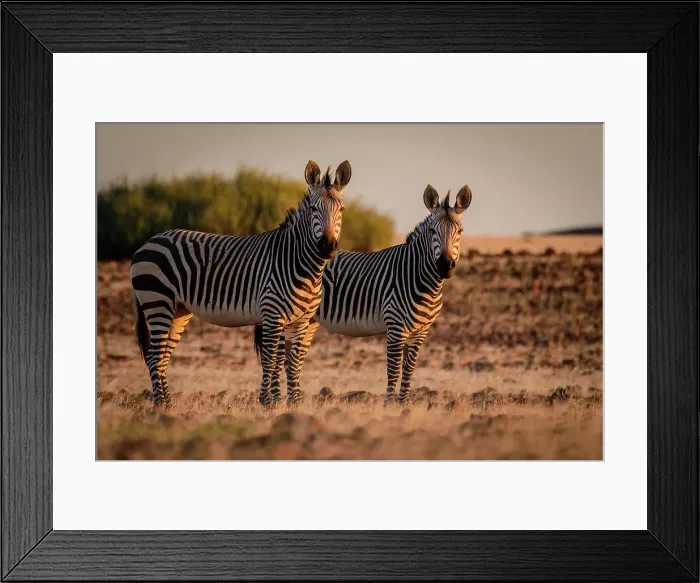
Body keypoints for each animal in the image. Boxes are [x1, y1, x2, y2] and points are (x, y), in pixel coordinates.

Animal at [130, 160, 352, 408]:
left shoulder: (301, 320)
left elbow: (292, 362)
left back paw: (168, 403)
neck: (301, 264)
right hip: (158, 301)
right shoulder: (272, 314)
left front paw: (293, 403)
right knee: (154, 355)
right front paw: (269, 402)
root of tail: (147, 243)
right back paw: (162, 405)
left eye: (341, 210)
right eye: (314, 209)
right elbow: (271, 360)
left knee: (162, 356)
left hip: (178, 310)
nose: (327, 246)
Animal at [255, 183, 472, 405]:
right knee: (278, 358)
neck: (420, 279)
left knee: (294, 360)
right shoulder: (396, 327)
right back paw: (275, 400)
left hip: (308, 320)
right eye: (433, 231)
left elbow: (409, 370)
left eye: (460, 231)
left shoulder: (421, 331)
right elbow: (394, 369)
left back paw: (297, 400)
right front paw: (389, 405)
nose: (445, 265)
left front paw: (404, 404)